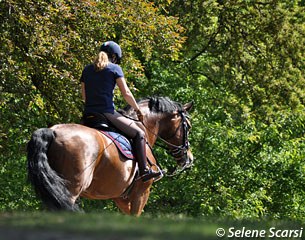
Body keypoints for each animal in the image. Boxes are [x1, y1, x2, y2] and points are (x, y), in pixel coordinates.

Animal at [26, 95, 192, 216]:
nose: (189, 158)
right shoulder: (141, 192)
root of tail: (52, 131)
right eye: (188, 127)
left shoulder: (120, 197)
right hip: (71, 190)